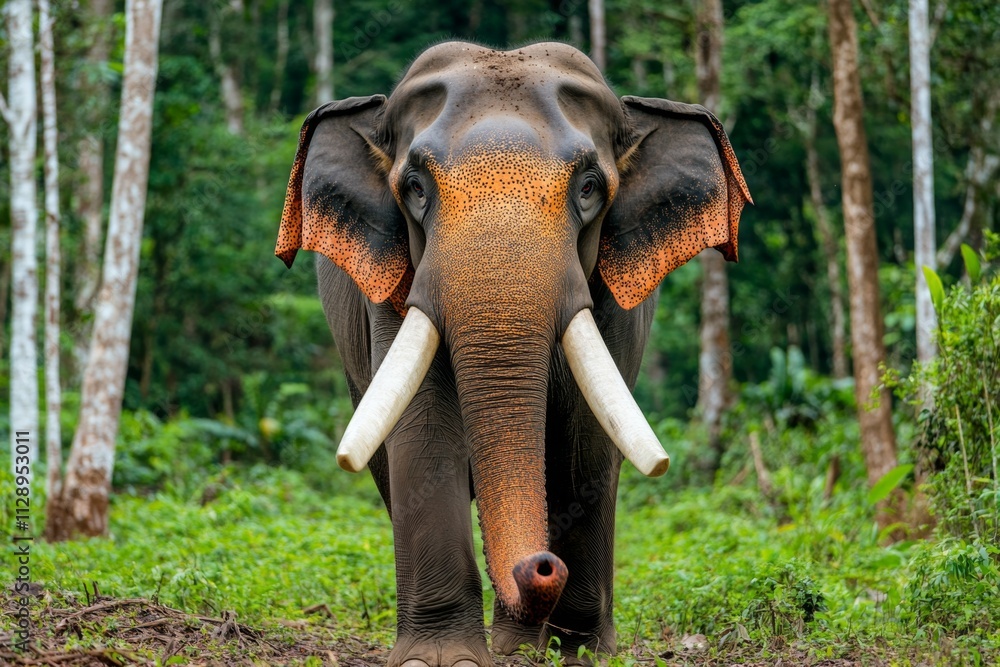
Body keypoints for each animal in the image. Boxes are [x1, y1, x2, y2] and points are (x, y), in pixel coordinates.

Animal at [275, 41, 750, 667]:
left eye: (589, 188)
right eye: (416, 188)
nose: (541, 565)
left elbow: (586, 438)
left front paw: (581, 652)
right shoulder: (397, 282)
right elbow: (423, 428)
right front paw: (439, 658)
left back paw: (521, 646)